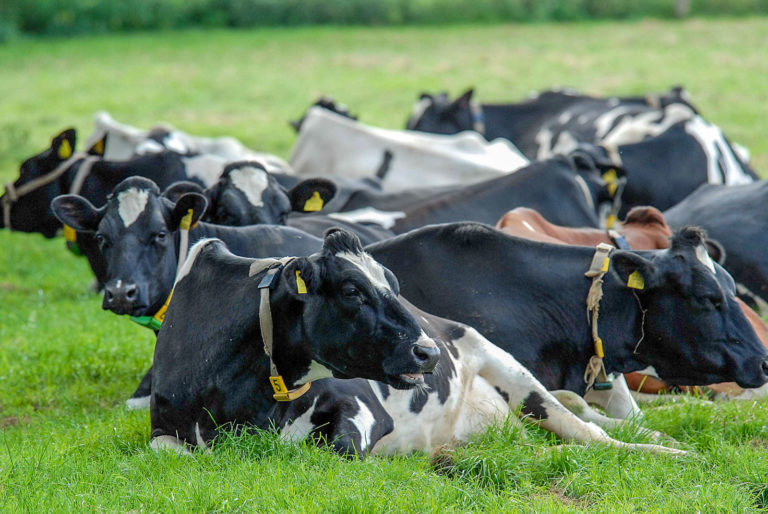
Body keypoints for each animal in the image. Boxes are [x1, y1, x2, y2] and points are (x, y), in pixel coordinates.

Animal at [152, 230, 684, 454]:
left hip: (510, 370)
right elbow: (171, 450)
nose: (428, 350)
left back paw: (670, 451)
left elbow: (335, 448)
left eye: (393, 283)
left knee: (590, 434)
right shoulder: (163, 430)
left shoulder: (365, 412)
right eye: (352, 290)